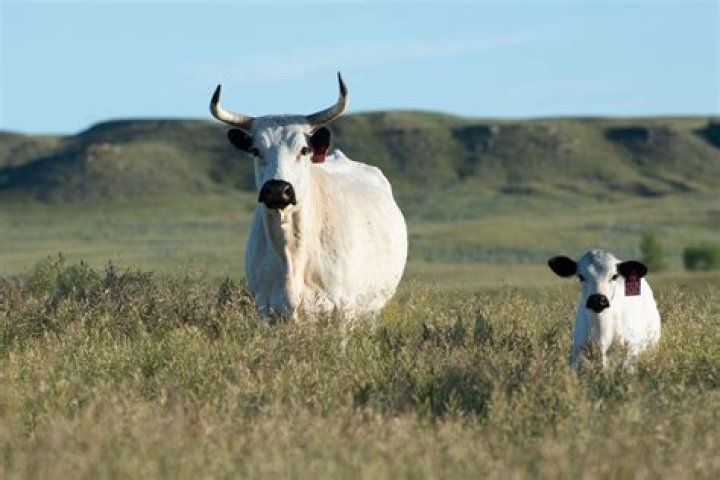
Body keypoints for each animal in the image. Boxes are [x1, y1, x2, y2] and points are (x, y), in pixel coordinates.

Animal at [209, 73, 408, 320]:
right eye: (255, 150)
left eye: (304, 150)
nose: (277, 189)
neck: (291, 252)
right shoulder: (266, 310)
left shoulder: (344, 311)